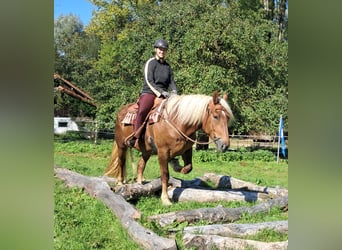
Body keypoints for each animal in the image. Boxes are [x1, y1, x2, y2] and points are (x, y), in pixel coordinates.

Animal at [103, 91, 232, 204]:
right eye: (215, 116)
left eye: (227, 118)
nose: (225, 145)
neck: (177, 122)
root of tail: (121, 112)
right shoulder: (163, 152)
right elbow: (165, 175)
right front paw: (165, 199)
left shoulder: (187, 150)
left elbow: (188, 168)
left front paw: (176, 164)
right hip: (121, 145)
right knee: (121, 162)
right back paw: (120, 183)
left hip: (146, 151)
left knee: (140, 165)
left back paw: (139, 184)